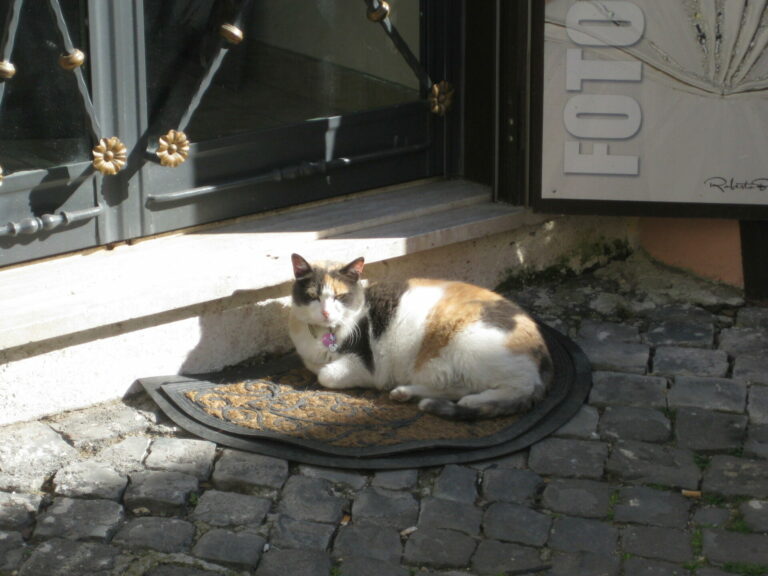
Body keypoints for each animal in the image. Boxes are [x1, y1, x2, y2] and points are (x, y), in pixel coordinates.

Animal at [288, 252, 552, 418]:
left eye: (340, 297)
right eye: (313, 296)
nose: (325, 312)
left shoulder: (366, 364)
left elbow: (326, 375)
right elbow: (316, 367)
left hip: (472, 349)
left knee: (517, 388)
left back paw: (473, 402)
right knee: (458, 387)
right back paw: (407, 394)